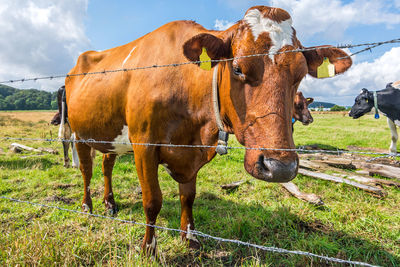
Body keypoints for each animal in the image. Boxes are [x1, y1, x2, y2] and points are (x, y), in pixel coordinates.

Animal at [65, 5, 350, 254]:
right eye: (237, 68)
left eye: (300, 75)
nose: (279, 167)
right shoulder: (144, 145)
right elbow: (152, 201)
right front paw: (149, 249)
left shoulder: (190, 151)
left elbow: (188, 197)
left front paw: (189, 238)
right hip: (78, 132)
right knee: (87, 170)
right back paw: (87, 205)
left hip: (109, 135)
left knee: (107, 165)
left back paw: (110, 203)